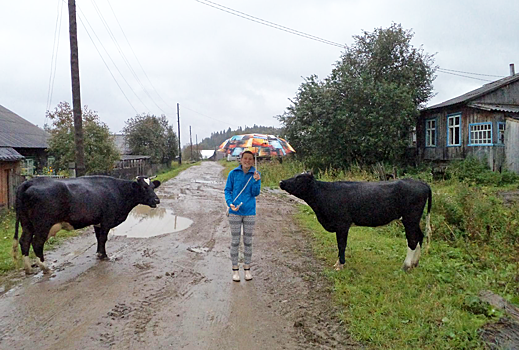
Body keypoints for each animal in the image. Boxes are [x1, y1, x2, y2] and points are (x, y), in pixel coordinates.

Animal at [13, 175, 160, 274]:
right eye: (144, 187)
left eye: (153, 187)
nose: (156, 200)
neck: (118, 191)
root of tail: (29, 182)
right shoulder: (106, 221)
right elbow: (103, 238)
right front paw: (104, 256)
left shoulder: (98, 222)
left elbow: (98, 238)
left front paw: (99, 253)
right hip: (43, 225)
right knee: (36, 243)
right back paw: (45, 267)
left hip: (27, 224)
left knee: (24, 241)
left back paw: (28, 268)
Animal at [278, 172, 432, 270]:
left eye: (299, 178)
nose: (281, 182)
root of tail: (421, 183)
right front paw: (338, 263)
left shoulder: (342, 224)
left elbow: (341, 245)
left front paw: (340, 265)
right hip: (414, 220)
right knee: (419, 236)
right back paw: (415, 263)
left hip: (410, 218)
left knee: (412, 240)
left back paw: (406, 266)